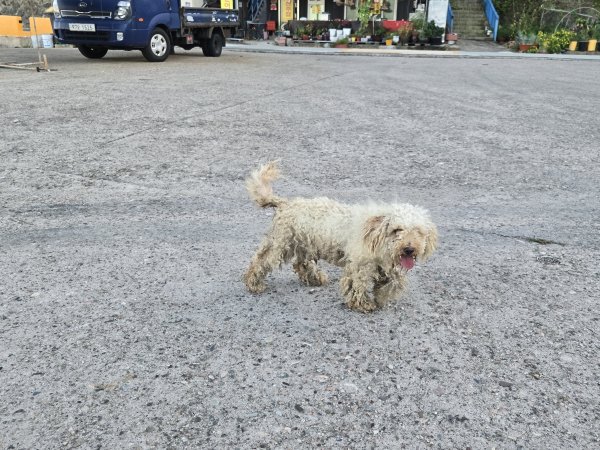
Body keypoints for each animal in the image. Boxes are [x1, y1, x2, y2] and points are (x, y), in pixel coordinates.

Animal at [241, 162, 438, 312]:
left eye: (419, 231)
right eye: (397, 230)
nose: (409, 248)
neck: (376, 236)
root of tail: (285, 203)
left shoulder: (386, 267)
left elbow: (390, 284)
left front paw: (381, 298)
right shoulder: (359, 265)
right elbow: (357, 284)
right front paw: (363, 304)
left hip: (304, 243)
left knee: (301, 264)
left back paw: (315, 278)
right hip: (281, 243)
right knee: (260, 261)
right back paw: (254, 283)